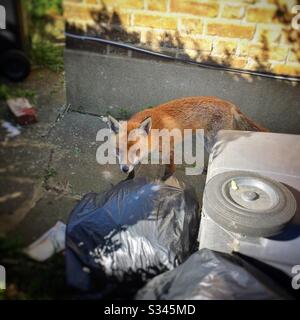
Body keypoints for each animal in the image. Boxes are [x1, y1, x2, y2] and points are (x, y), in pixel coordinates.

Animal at [107, 96, 268, 179]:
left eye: (137, 150)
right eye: (118, 150)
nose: (124, 169)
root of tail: (230, 104)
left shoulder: (169, 149)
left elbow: (170, 170)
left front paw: (162, 182)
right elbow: (135, 167)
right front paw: (129, 178)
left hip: (212, 143)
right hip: (205, 140)